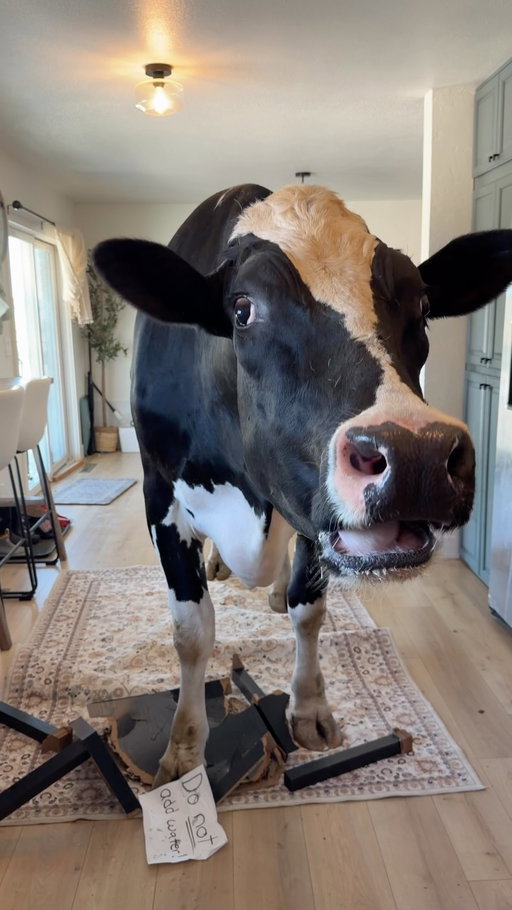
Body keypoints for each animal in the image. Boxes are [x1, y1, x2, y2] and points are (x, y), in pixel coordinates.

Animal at [94, 183, 512, 786]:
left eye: (423, 307)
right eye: (242, 309)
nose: (419, 455)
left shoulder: (311, 512)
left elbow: (308, 610)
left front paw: (310, 708)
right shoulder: (159, 495)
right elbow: (192, 632)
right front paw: (183, 751)